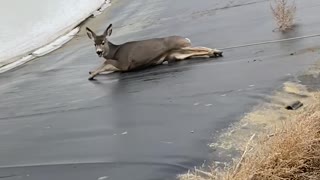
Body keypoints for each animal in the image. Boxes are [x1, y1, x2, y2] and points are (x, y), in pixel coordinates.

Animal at [86, 23, 224, 80]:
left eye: (103, 42)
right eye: (94, 43)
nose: (99, 52)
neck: (115, 51)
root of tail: (185, 38)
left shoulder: (125, 63)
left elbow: (107, 62)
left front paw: (91, 75)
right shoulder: (121, 66)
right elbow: (109, 67)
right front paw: (91, 72)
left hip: (178, 46)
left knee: (199, 47)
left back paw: (216, 51)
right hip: (175, 55)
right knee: (195, 52)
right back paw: (214, 53)